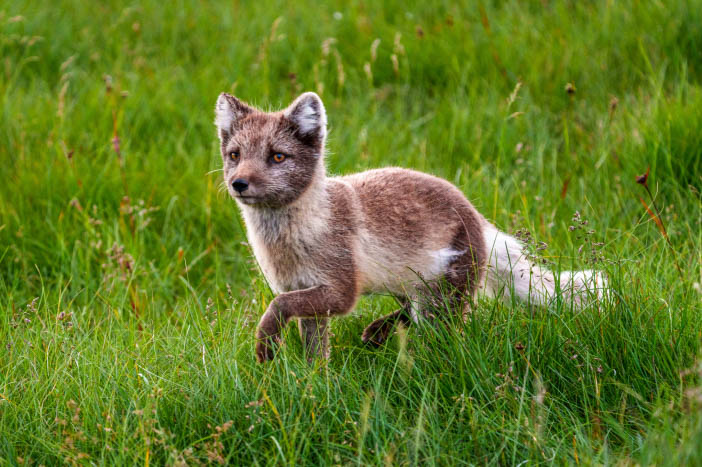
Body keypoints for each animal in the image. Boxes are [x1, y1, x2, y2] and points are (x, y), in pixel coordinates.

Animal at [214, 90, 612, 362]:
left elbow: (278, 305)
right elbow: (313, 350)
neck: (294, 240)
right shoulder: (306, 294)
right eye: (235, 155)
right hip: (411, 286)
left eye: (277, 156)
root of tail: (476, 215)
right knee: (407, 310)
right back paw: (377, 332)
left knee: (434, 328)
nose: (239, 183)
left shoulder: (340, 292)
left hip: (441, 303)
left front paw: (266, 344)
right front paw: (314, 385)